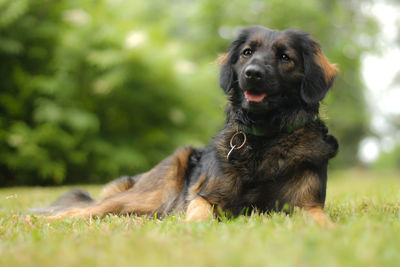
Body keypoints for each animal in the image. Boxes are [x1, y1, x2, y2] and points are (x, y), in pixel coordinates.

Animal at [35, 26, 340, 225]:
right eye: (247, 52)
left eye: (285, 57)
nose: (252, 74)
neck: (264, 140)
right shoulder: (206, 196)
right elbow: (198, 213)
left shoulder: (305, 205)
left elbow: (320, 220)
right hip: (145, 196)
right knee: (83, 210)